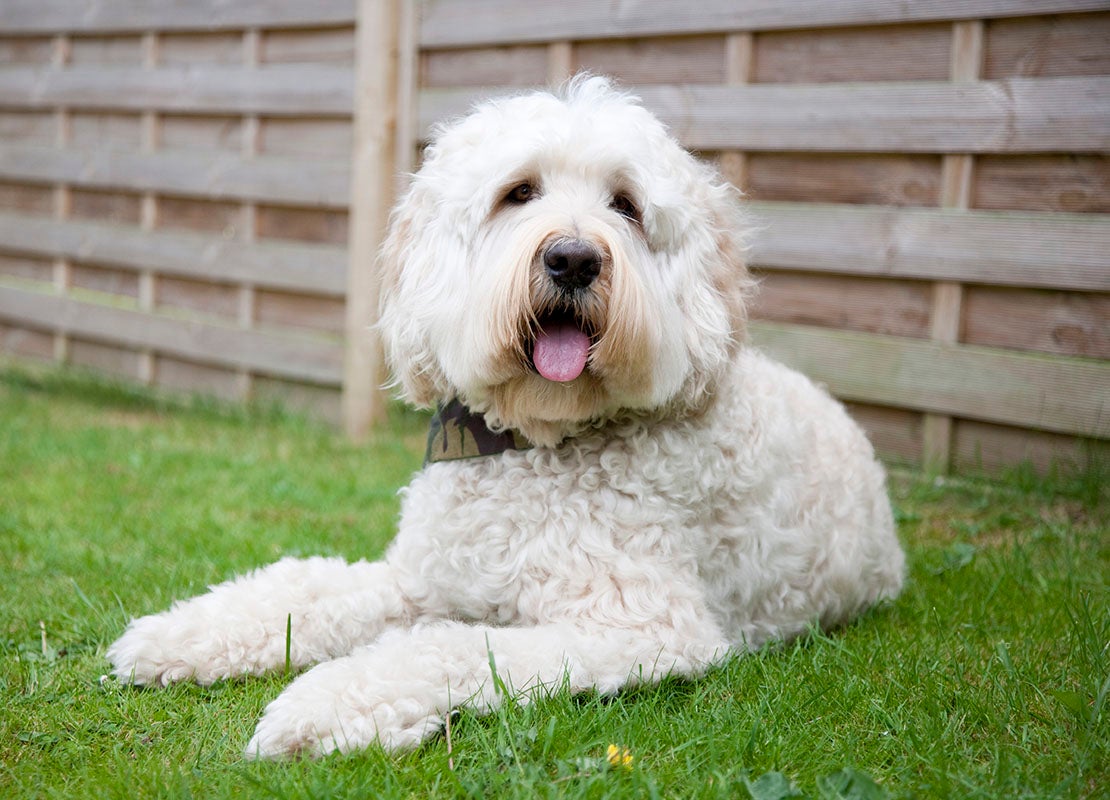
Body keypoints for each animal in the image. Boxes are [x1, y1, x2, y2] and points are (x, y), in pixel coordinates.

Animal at [106, 78, 901, 758]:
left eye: (625, 205)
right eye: (519, 192)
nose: (573, 258)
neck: (532, 444)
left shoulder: (642, 627)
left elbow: (448, 646)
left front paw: (321, 707)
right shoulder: (423, 579)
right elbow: (306, 589)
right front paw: (179, 636)